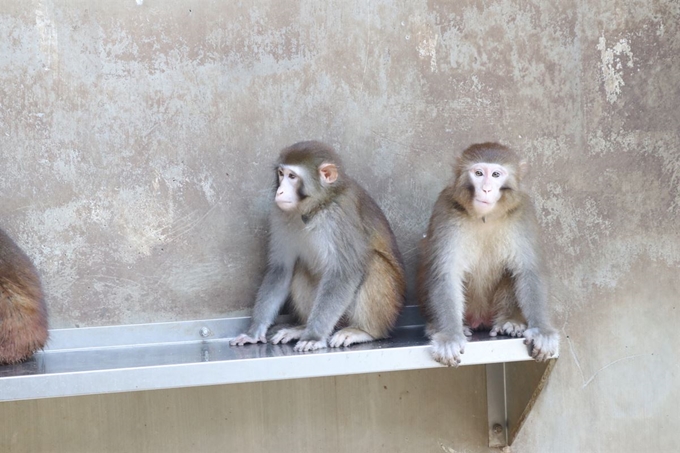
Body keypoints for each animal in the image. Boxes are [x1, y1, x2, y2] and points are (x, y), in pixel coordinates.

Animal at [231, 139, 406, 352]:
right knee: (300, 267)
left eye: (292, 176)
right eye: (281, 173)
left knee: (373, 261)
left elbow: (344, 272)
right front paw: (254, 332)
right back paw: (302, 328)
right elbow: (281, 269)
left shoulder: (340, 217)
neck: (316, 207)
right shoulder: (280, 215)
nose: (280, 191)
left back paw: (364, 331)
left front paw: (313, 336)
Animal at [420, 143, 556, 366]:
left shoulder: (523, 211)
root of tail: (480, 319)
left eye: (495, 174)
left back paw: (510, 321)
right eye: (478, 173)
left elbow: (528, 271)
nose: (486, 189)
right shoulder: (445, 209)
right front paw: (450, 336)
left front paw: (541, 331)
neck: (486, 217)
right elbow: (446, 272)